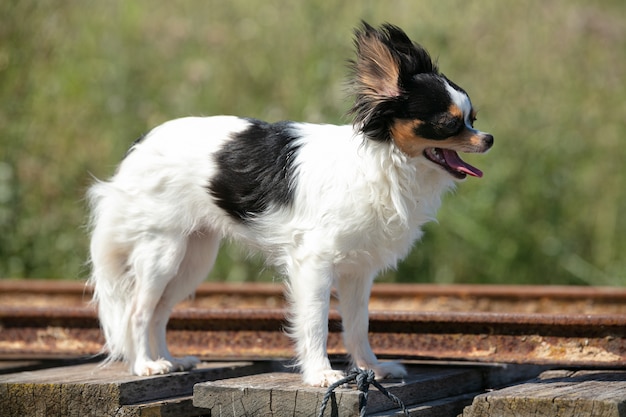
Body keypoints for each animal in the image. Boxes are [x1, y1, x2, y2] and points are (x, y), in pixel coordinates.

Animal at [86, 22, 492, 386]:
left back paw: (170, 360)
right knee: (138, 312)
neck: (387, 164)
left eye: (473, 119)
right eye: (448, 124)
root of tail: (140, 145)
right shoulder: (313, 264)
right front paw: (321, 374)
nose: (488, 138)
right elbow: (315, 324)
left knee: (158, 311)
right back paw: (145, 365)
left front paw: (371, 369)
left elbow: (357, 325)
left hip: (192, 259)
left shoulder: (358, 271)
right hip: (163, 253)